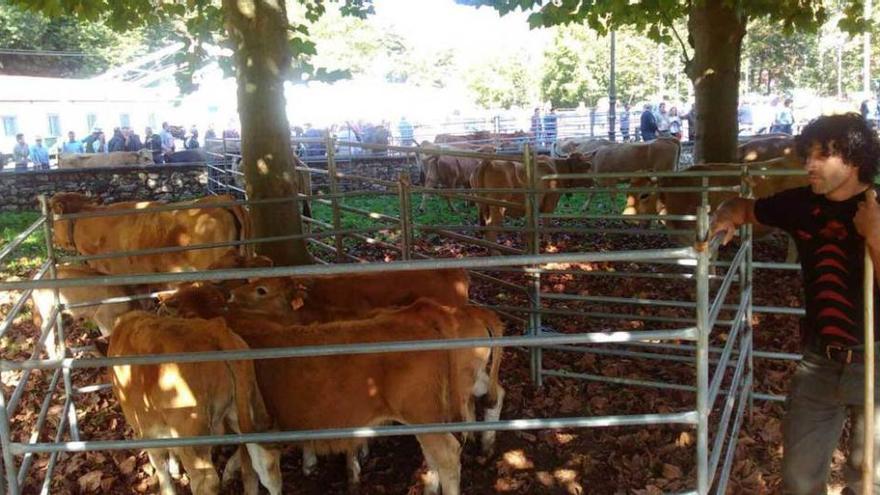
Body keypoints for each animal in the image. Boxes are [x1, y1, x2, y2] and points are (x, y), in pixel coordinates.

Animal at [109, 312, 282, 495]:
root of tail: (213, 328)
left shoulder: (147, 430)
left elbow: (160, 466)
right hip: (251, 406)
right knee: (267, 463)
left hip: (190, 431)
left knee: (206, 481)